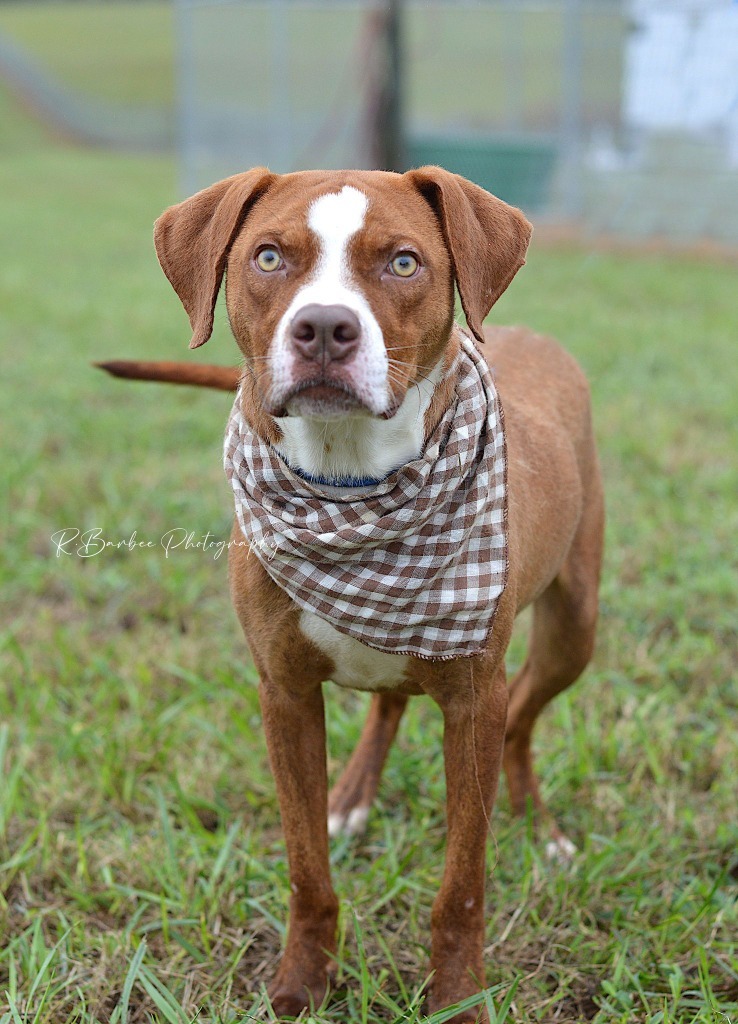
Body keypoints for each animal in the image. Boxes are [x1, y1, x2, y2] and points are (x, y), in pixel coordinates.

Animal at [99, 163, 605, 1019]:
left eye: (403, 262)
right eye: (269, 256)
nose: (326, 328)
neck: (350, 488)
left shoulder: (474, 699)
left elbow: (462, 883)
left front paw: (458, 998)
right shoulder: (284, 693)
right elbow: (307, 870)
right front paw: (301, 986)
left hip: (575, 625)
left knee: (523, 718)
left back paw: (542, 830)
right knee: (392, 697)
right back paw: (353, 796)